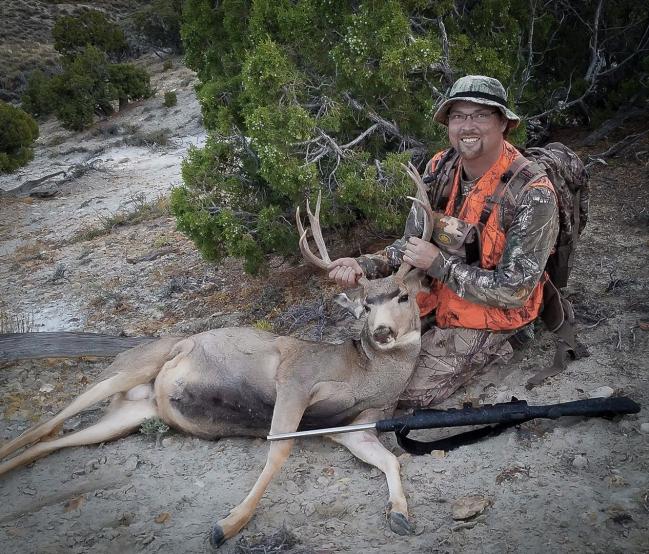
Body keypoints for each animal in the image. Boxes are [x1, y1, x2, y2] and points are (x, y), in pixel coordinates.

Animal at [0, 164, 436, 547]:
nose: (381, 331)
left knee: (49, 444)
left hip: (128, 415)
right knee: (43, 426)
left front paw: (400, 515)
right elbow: (279, 448)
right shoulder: (296, 378)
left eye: (403, 295)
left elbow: (393, 460)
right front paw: (227, 524)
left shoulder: (354, 428)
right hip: (130, 368)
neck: (363, 376)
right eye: (365, 305)